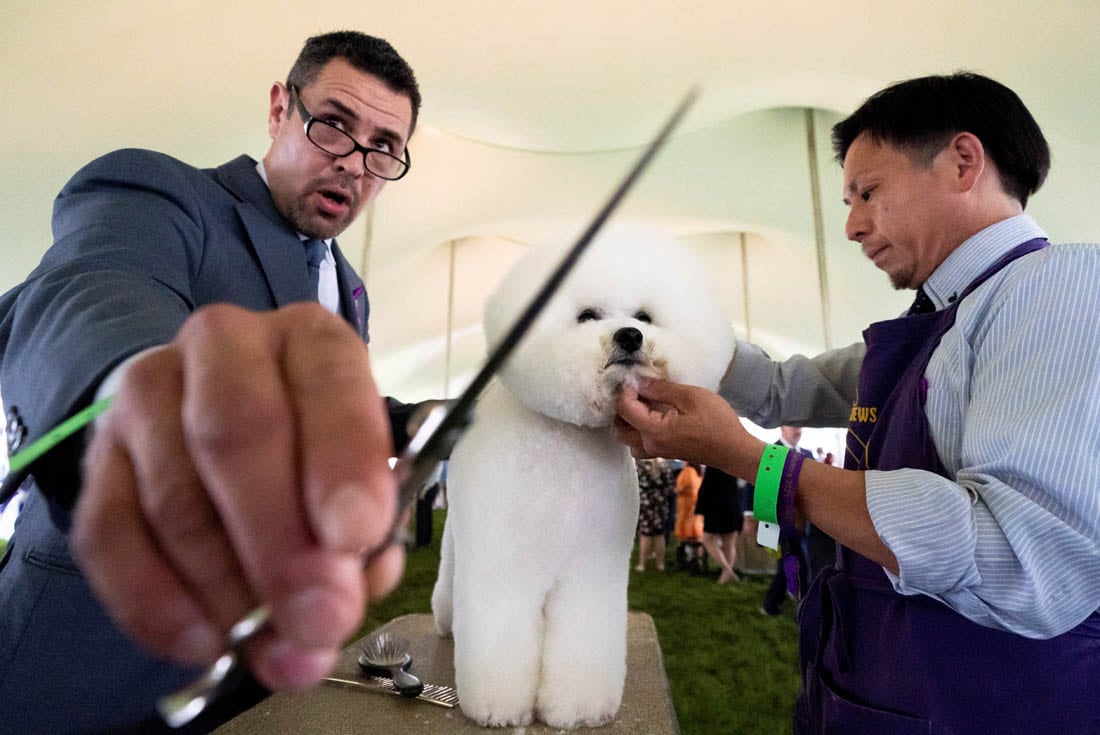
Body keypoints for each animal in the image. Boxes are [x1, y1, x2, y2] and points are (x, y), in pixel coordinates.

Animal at [433, 225, 734, 730]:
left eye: (644, 316)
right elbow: (499, 636)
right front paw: (498, 707)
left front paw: (576, 709)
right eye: (587, 315)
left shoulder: (592, 572)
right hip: (459, 537)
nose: (630, 336)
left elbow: (583, 640)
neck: (566, 444)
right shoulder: (502, 567)